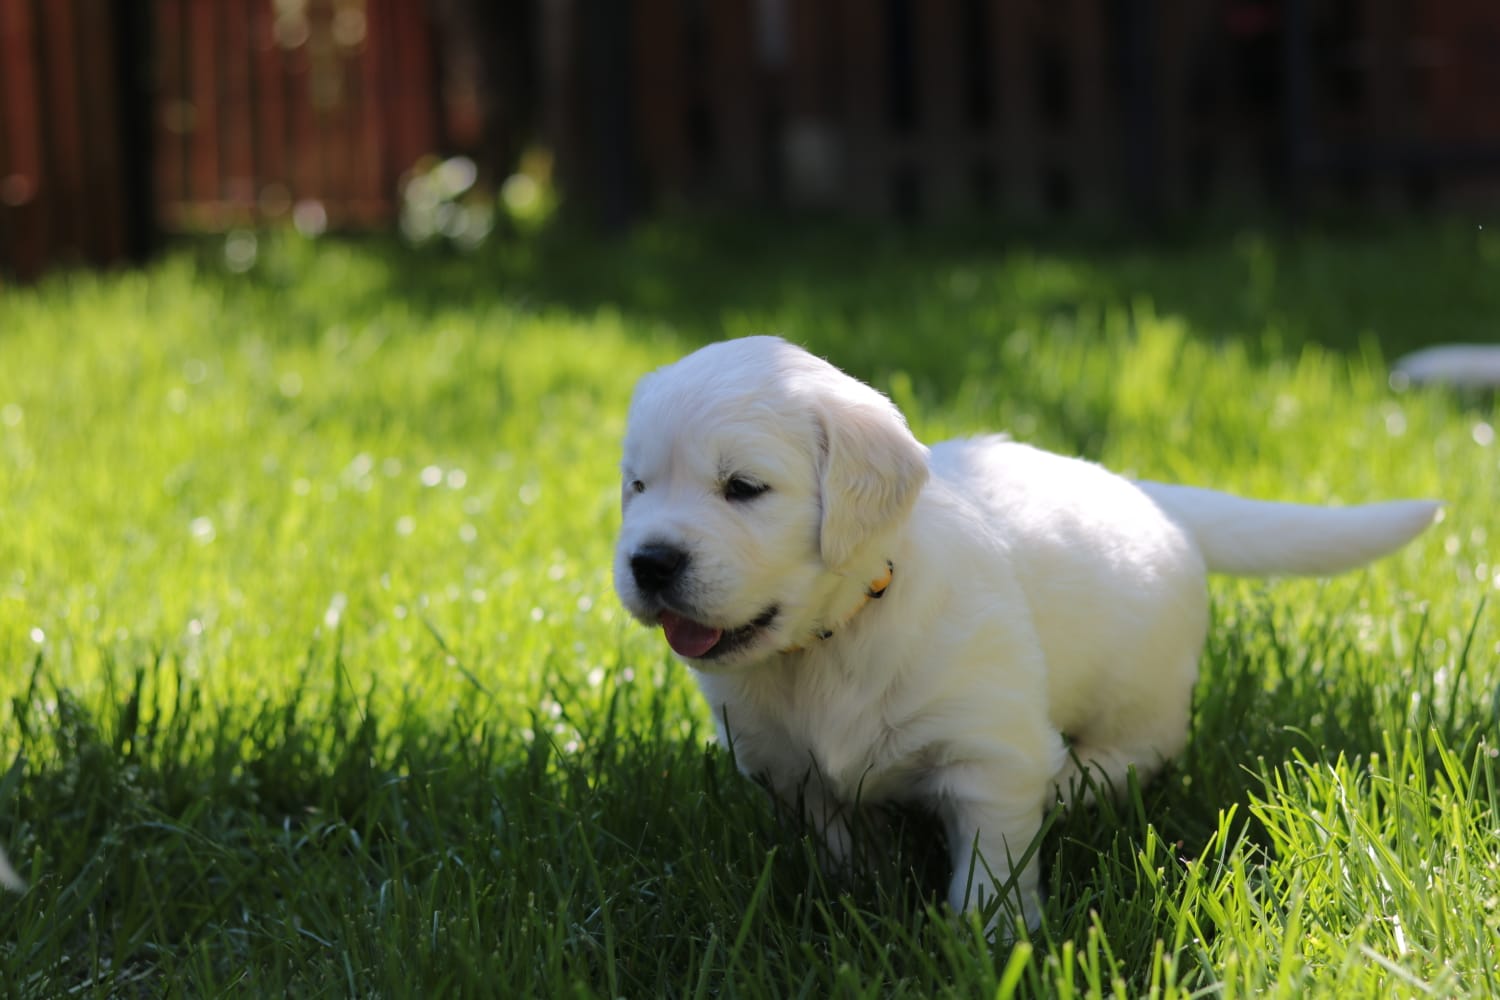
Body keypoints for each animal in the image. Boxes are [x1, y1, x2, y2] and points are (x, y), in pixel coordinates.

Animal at [612, 335, 1440, 929]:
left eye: (743, 488)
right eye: (638, 486)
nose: (649, 562)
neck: (834, 639)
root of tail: (1150, 496)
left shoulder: (988, 751)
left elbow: (991, 860)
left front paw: (994, 937)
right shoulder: (793, 772)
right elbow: (845, 843)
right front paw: (860, 893)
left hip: (1143, 693)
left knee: (1136, 753)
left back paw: (1071, 782)